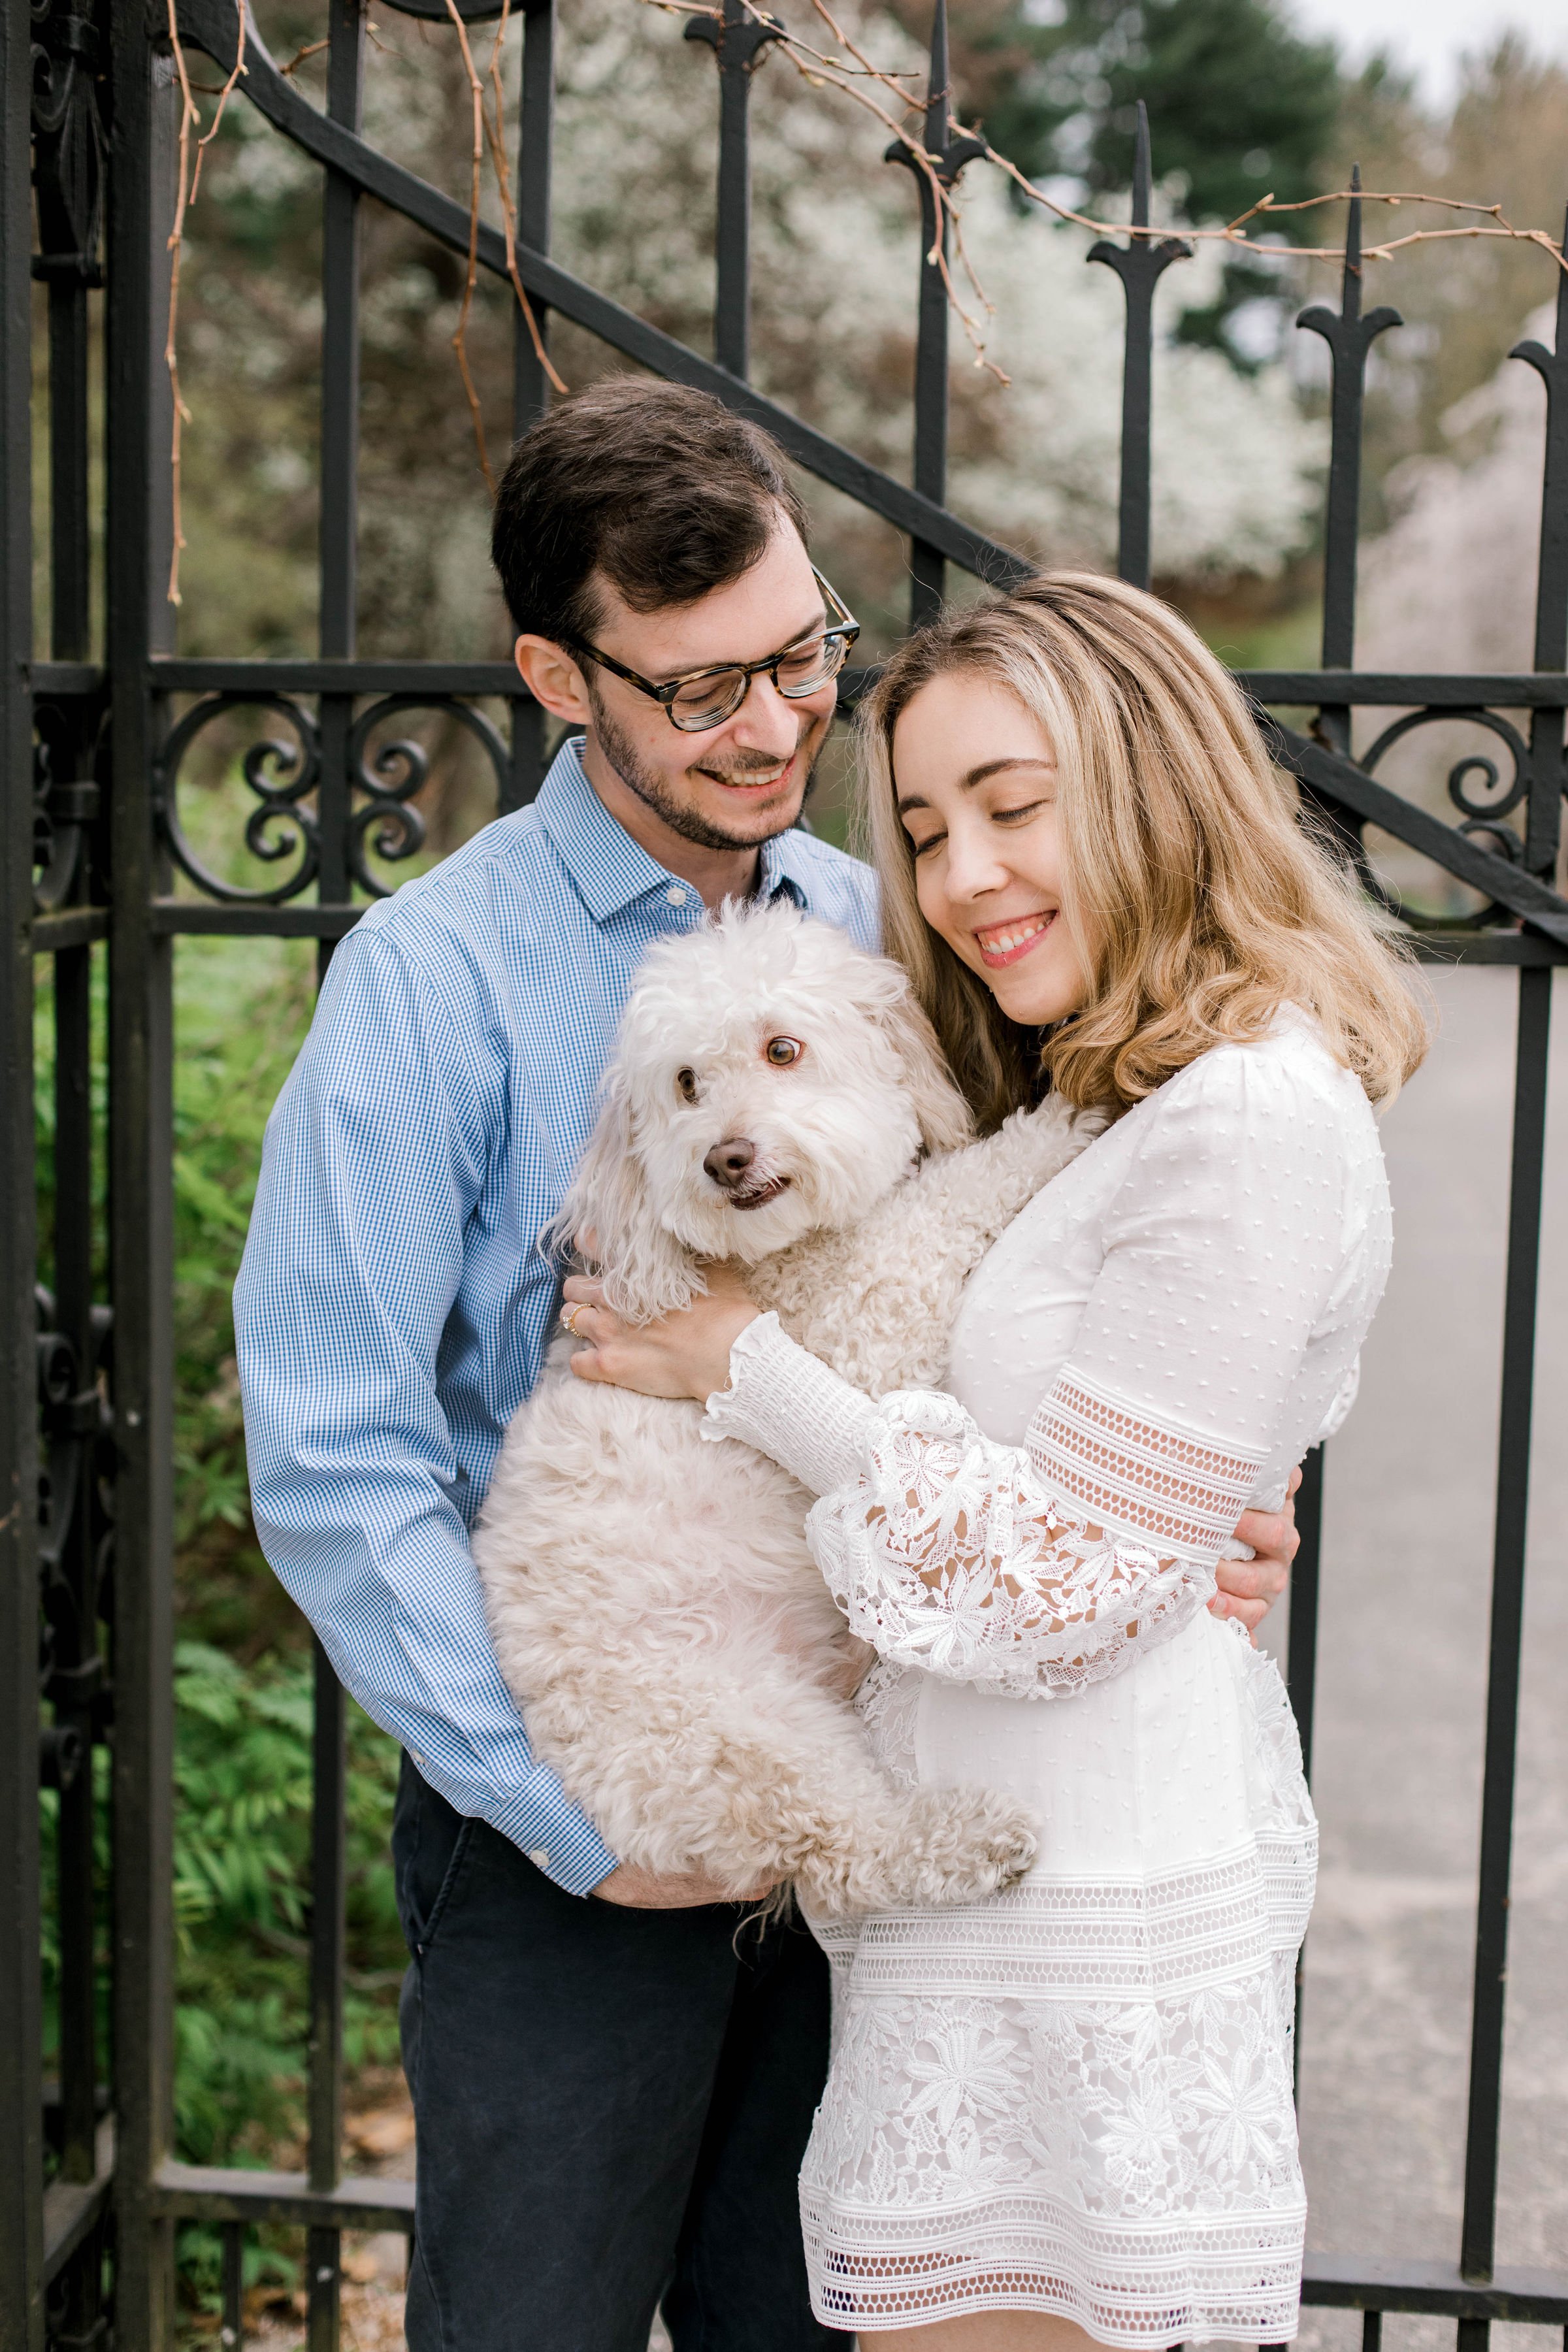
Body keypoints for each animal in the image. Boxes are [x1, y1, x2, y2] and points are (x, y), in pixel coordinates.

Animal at [472, 894, 1100, 1910]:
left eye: (782, 1050)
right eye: (687, 1082)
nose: (726, 1158)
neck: (776, 1254)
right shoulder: (863, 1322)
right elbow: (944, 1199)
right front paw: (1056, 1126)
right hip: (739, 1733)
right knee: (846, 1849)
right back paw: (967, 1839)